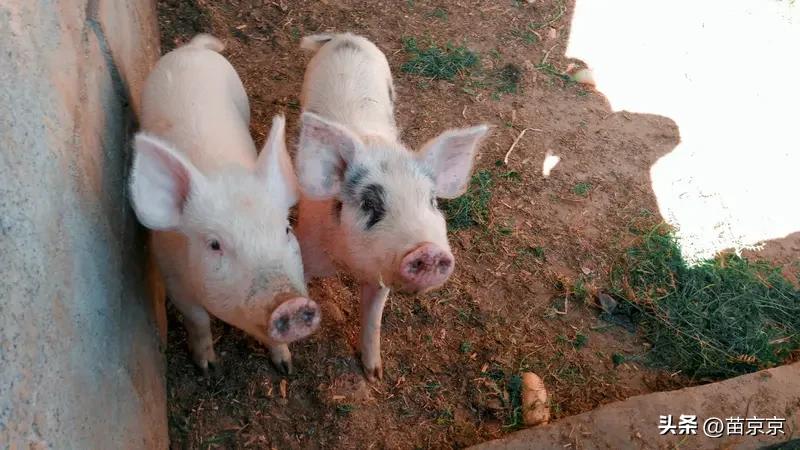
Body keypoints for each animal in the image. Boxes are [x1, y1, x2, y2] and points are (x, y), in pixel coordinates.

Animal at [128, 34, 319, 375]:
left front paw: (285, 366)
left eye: (286, 230)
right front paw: (206, 367)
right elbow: (198, 320)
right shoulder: (174, 280)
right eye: (215, 244)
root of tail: (192, 49)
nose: (290, 302)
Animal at [294, 33, 490, 381]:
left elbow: (373, 320)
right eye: (370, 203)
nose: (429, 250)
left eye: (432, 200)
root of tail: (346, 36)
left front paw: (375, 375)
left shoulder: (381, 276)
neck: (347, 264)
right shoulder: (307, 246)